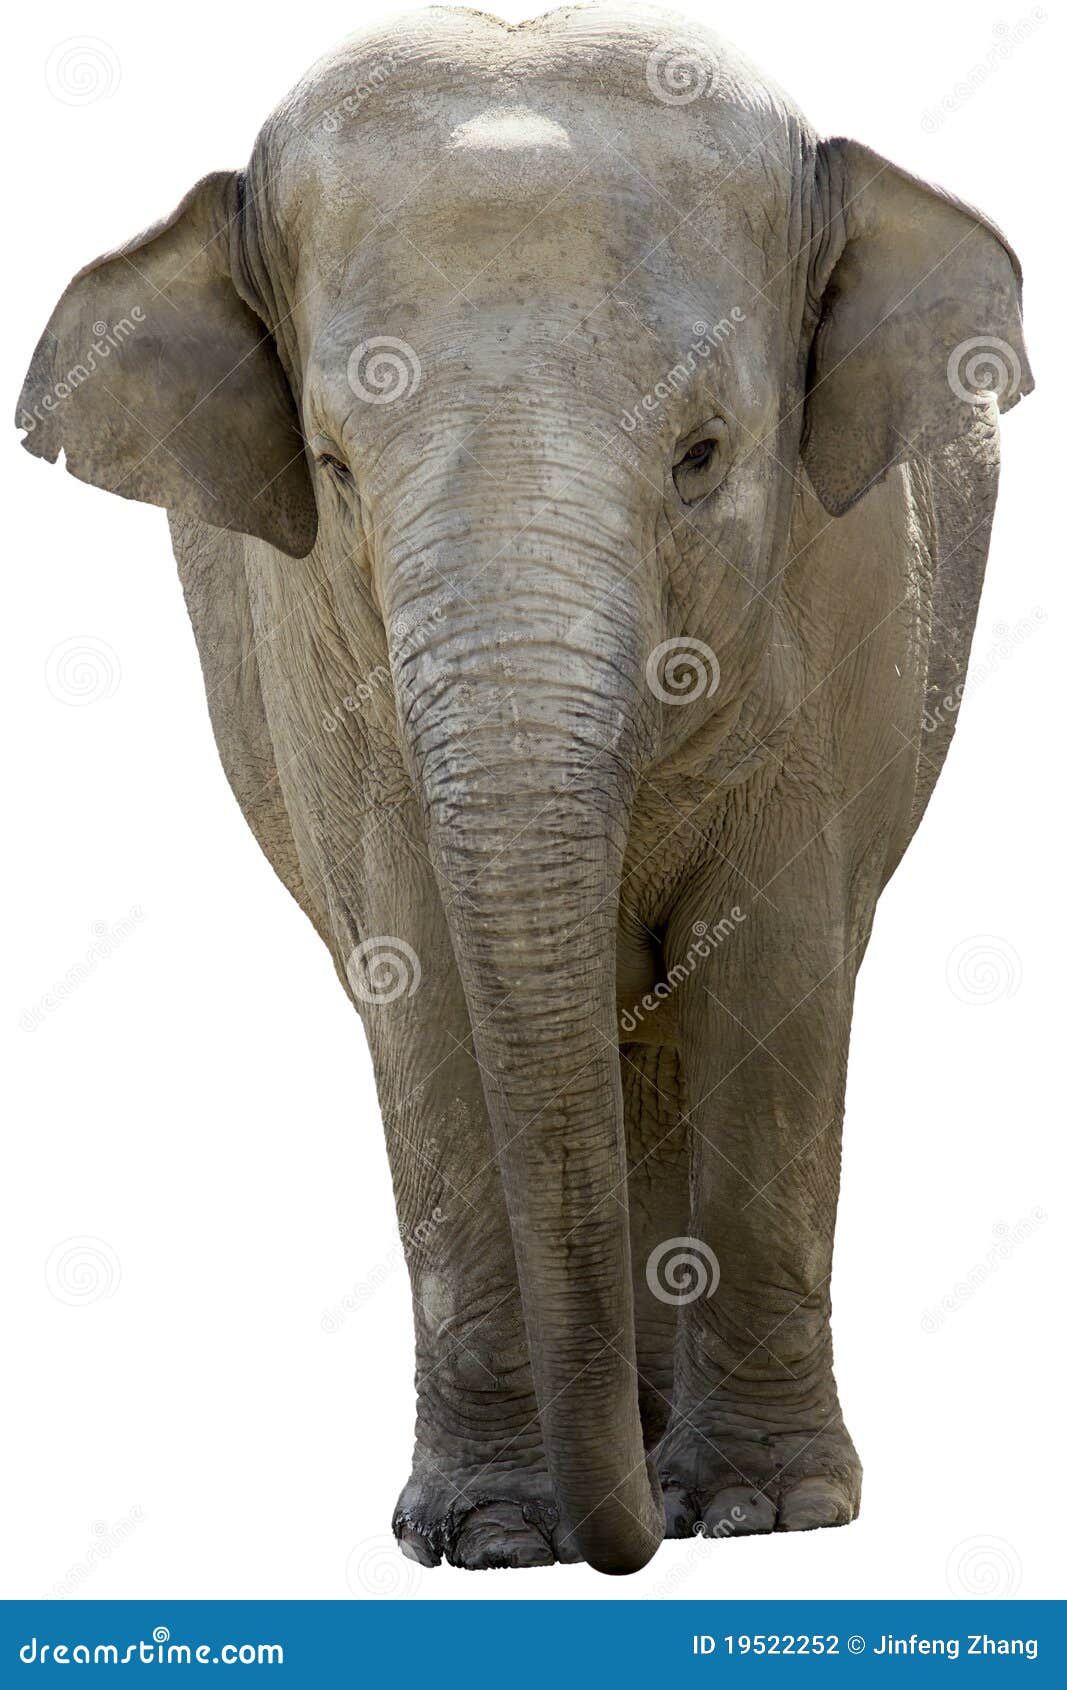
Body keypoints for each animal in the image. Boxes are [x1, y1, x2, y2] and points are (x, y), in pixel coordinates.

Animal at [17, 4, 1031, 1576]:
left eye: (702, 455)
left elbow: (776, 964)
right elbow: (419, 984)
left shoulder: (845, 593)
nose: (629, 1548)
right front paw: (491, 1535)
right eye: (332, 469)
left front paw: (764, 1513)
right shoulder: (320, 661)